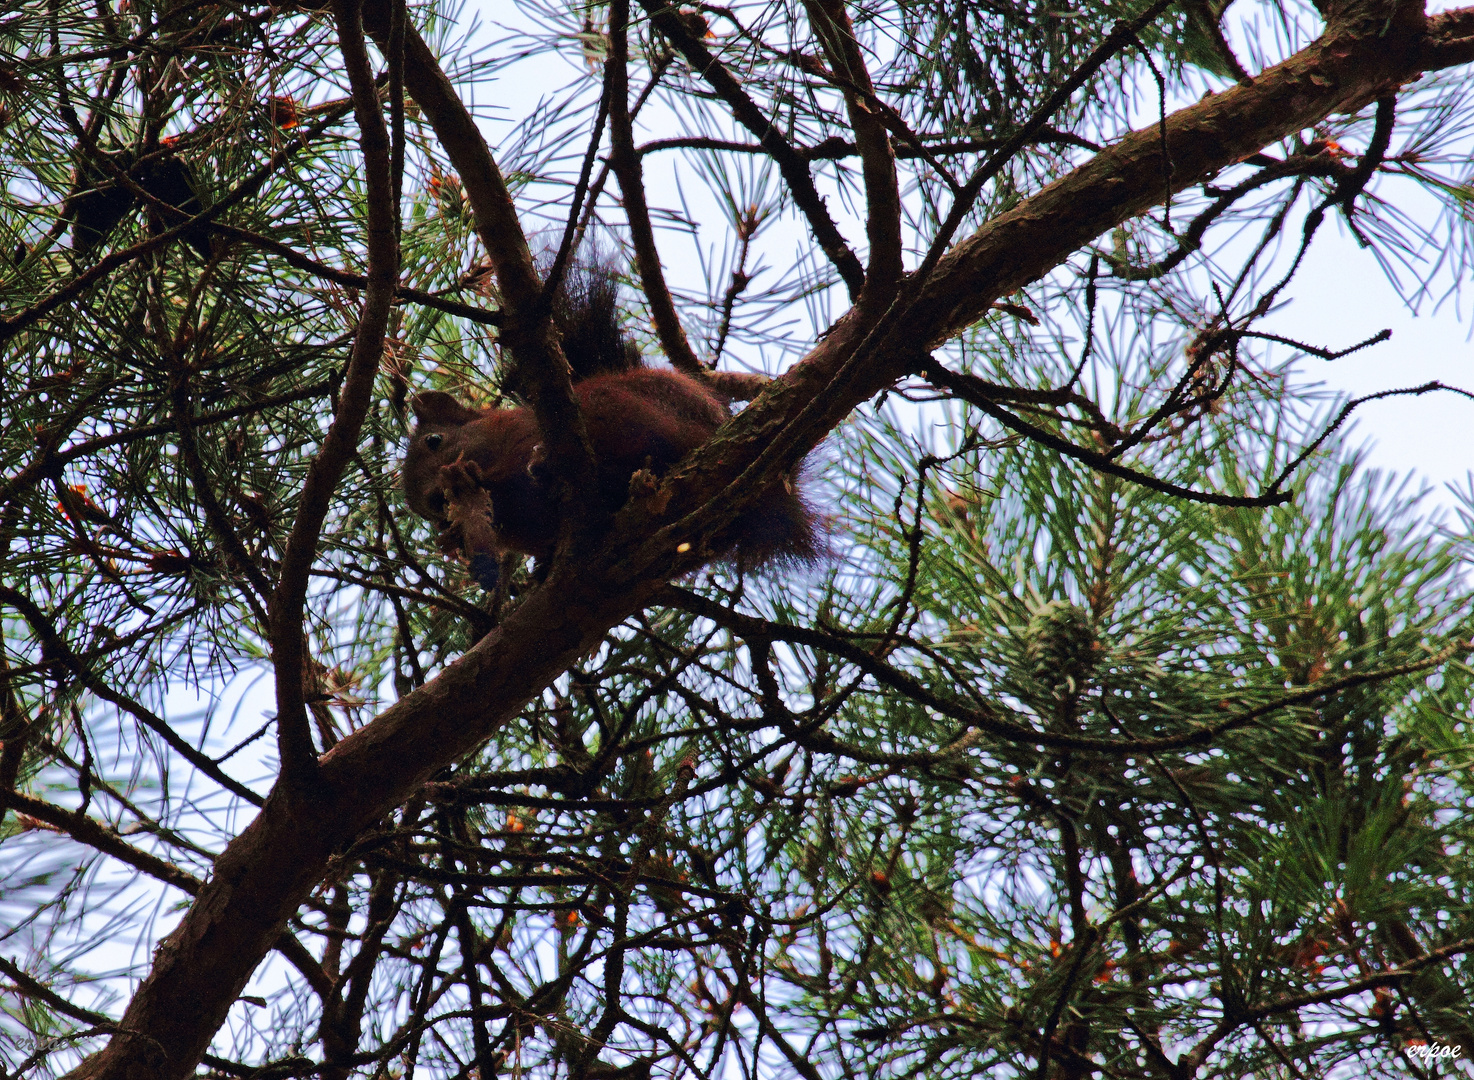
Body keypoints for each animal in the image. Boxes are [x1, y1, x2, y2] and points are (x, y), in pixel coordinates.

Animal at [403, 259, 819, 589]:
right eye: (422, 511)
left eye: (434, 440)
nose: (436, 501)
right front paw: (453, 540)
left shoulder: (522, 435)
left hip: (623, 412)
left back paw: (559, 469)